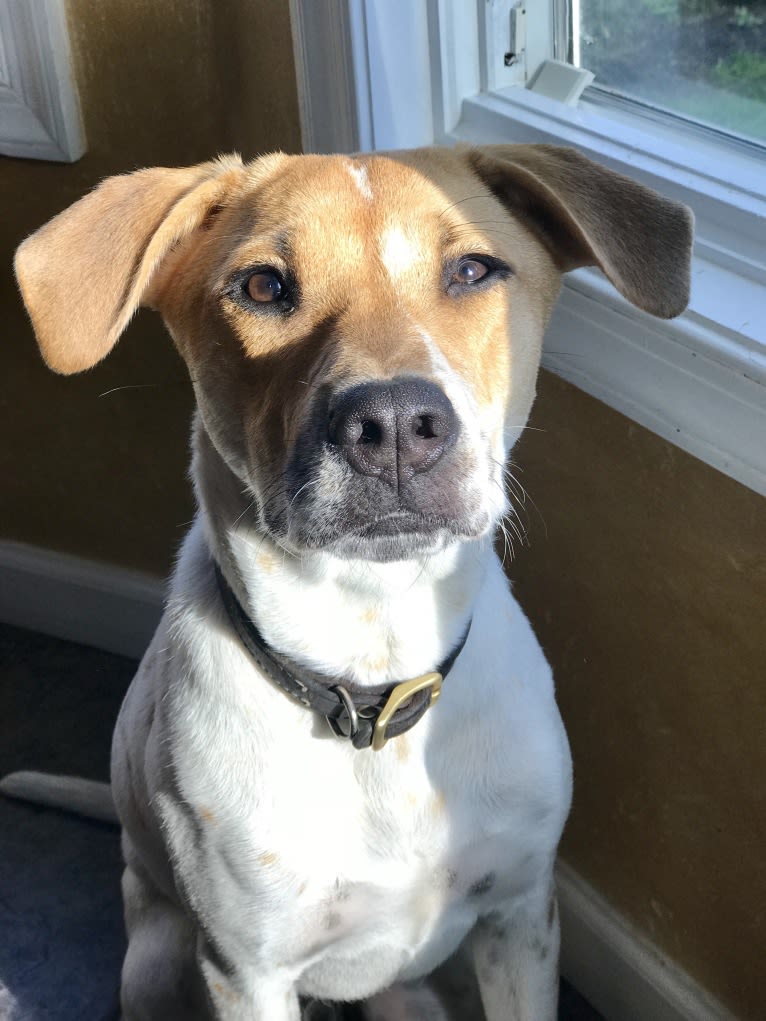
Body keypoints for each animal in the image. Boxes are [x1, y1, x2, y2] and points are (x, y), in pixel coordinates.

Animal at [1, 146, 694, 1021]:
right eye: (264, 286)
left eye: (473, 270)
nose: (394, 424)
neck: (373, 678)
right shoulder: (245, 972)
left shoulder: (521, 918)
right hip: (159, 962)